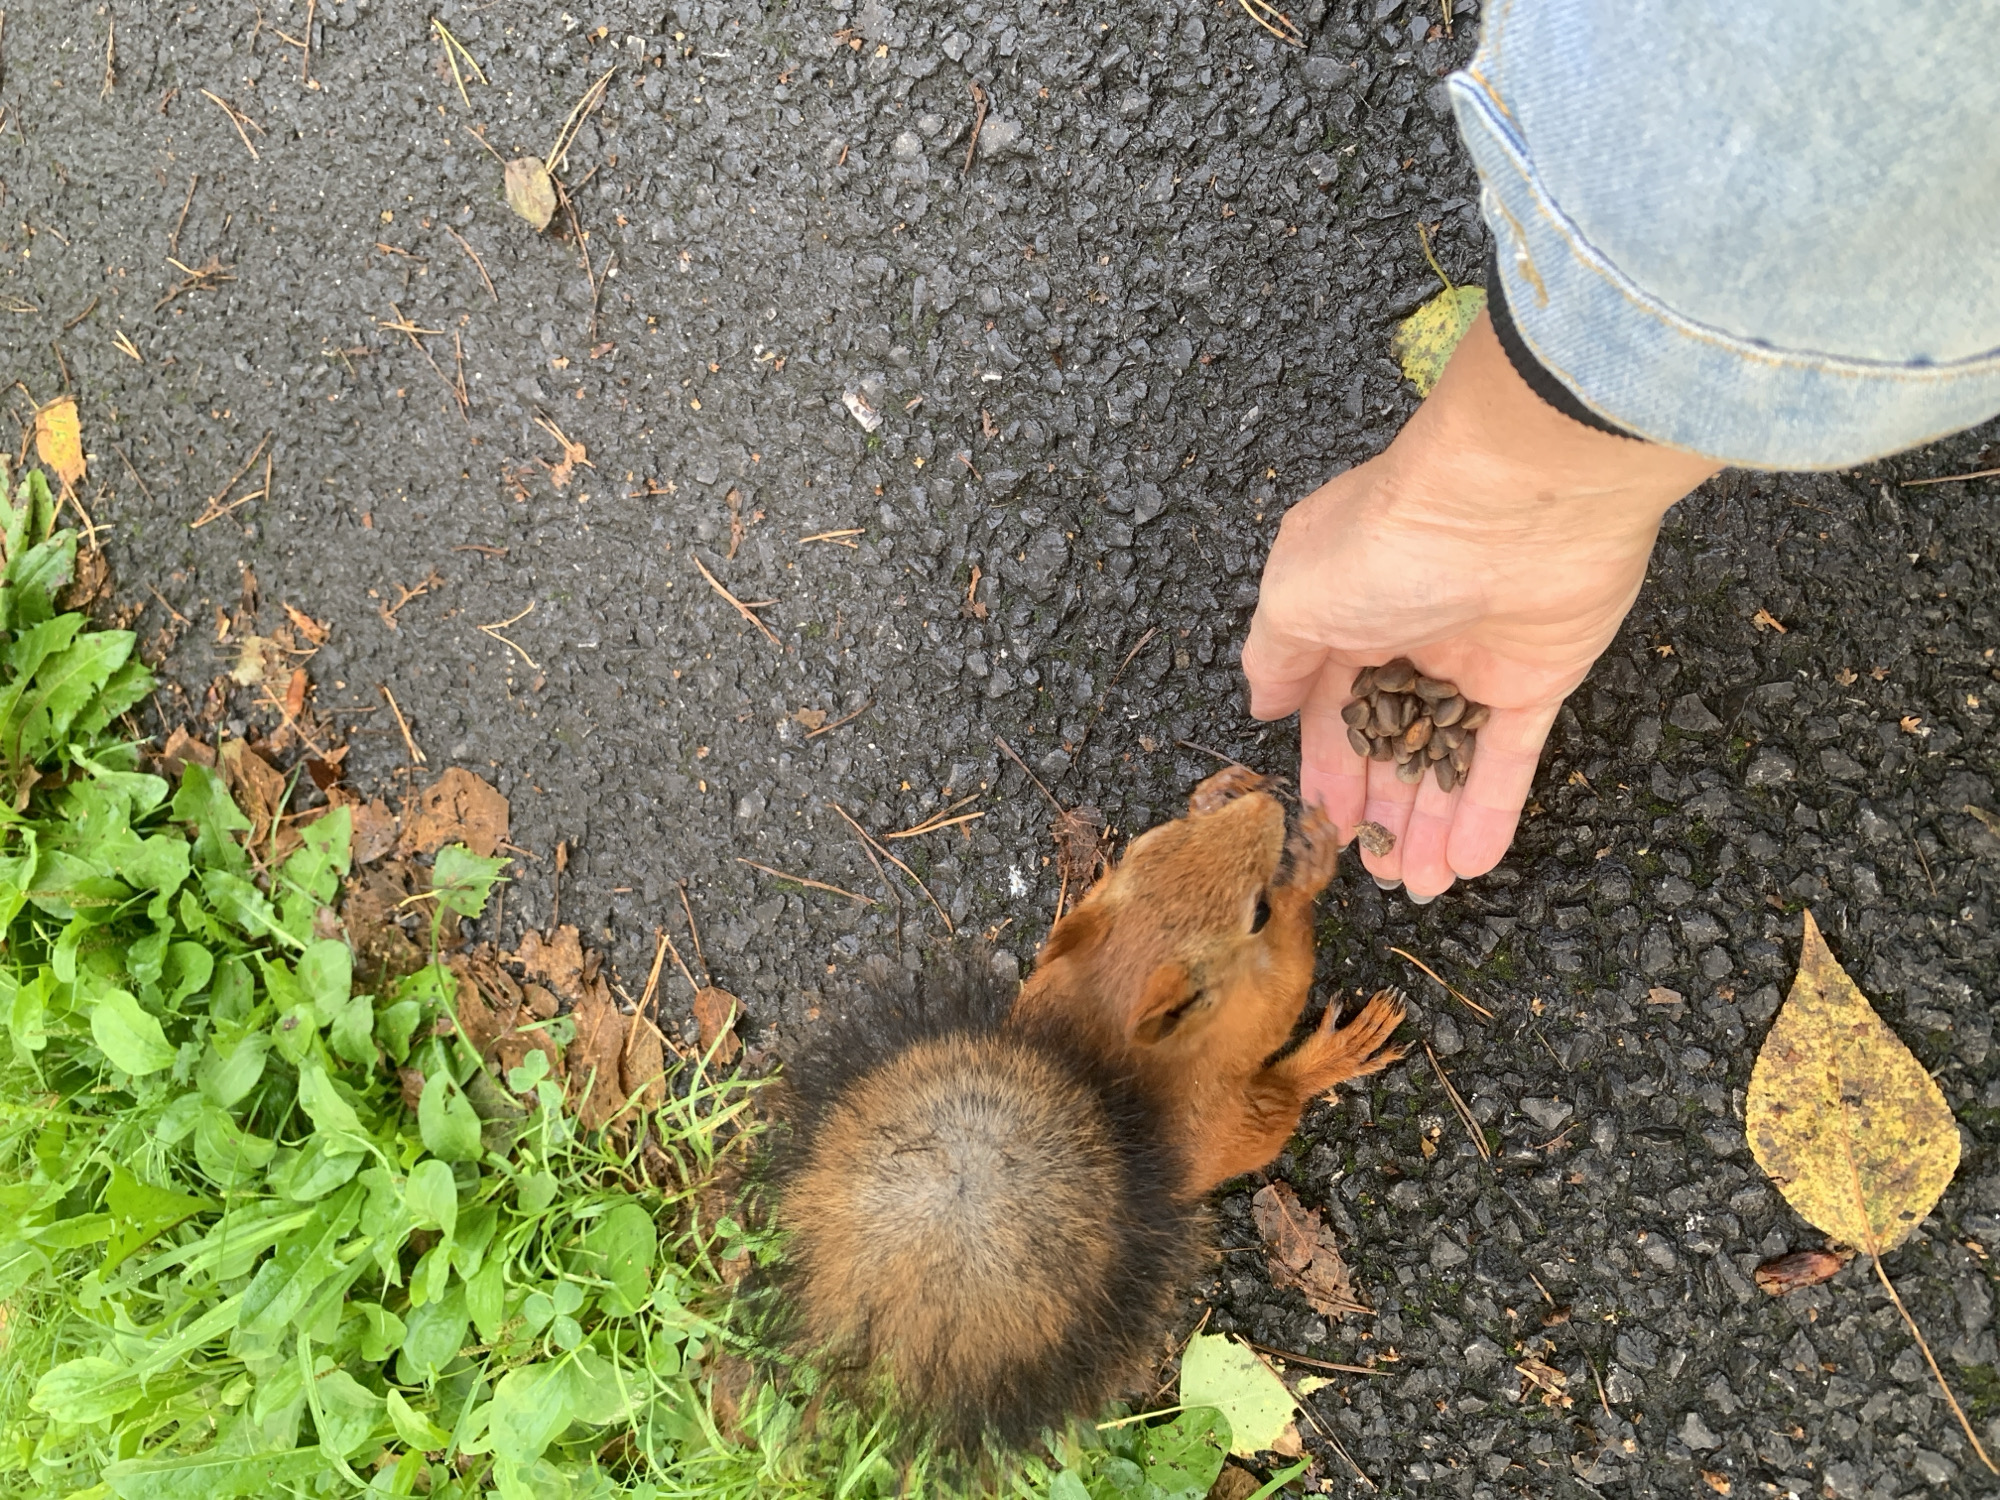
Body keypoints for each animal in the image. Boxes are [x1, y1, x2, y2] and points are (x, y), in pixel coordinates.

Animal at [777, 766, 1405, 1455]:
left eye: (1154, 842)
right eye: (1256, 912)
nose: (1267, 803)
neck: (1111, 994)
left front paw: (1223, 788)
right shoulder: (1251, 1010)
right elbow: (1290, 979)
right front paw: (1312, 862)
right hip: (1248, 1123)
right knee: (1282, 1101)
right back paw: (1340, 1050)